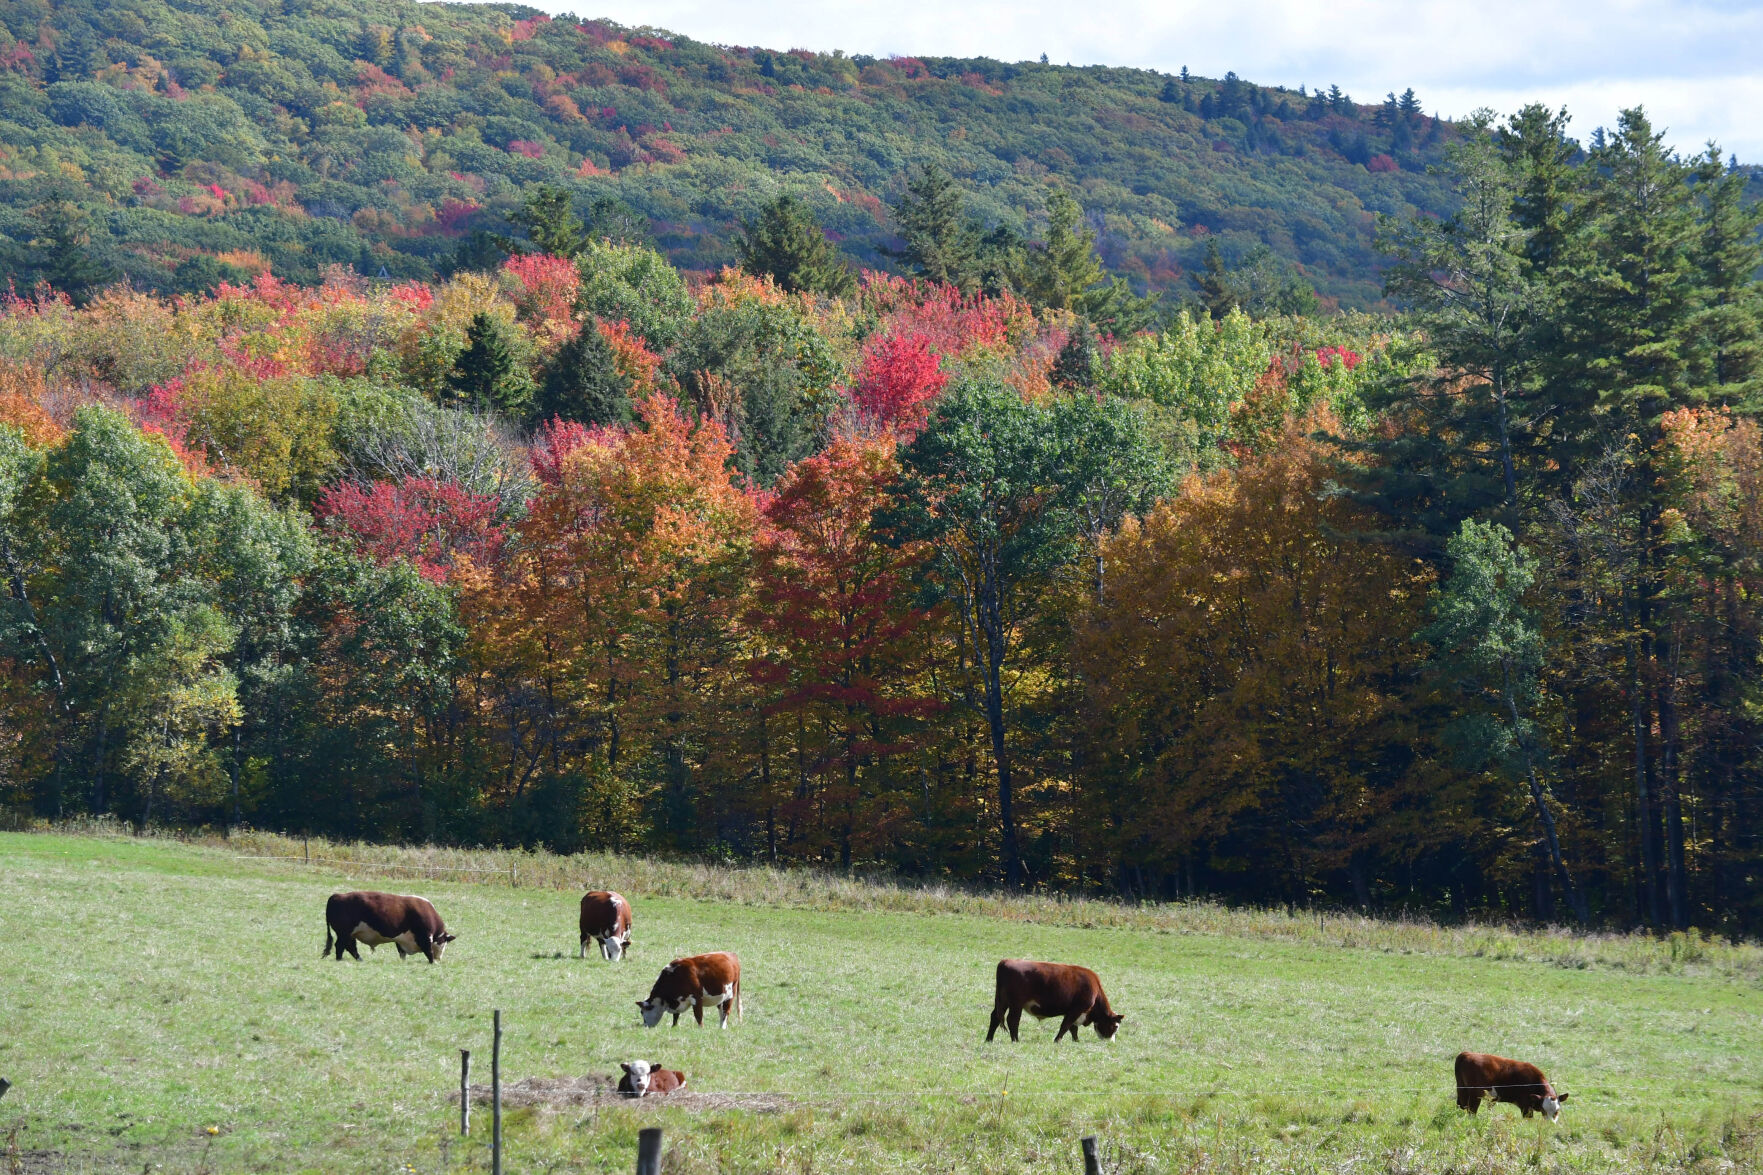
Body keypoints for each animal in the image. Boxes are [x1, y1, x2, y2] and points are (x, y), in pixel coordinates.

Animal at [323, 891, 456, 964]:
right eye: (444, 943)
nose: (440, 958)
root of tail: (337, 895)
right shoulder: (425, 937)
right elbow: (429, 952)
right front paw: (433, 963)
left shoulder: (401, 939)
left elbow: (402, 953)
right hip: (344, 933)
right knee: (340, 946)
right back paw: (340, 959)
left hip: (349, 934)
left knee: (350, 947)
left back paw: (359, 960)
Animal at [986, 959, 1124, 1043]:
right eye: (1115, 1026)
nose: (1111, 1043)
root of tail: (1006, 961)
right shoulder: (1076, 1009)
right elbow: (1065, 1026)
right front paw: (1057, 1041)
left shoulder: (1072, 1011)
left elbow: (1073, 1028)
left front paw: (1076, 1041)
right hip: (1016, 1004)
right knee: (1012, 1020)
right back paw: (1015, 1040)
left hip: (1002, 1002)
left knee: (995, 1017)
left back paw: (989, 1039)